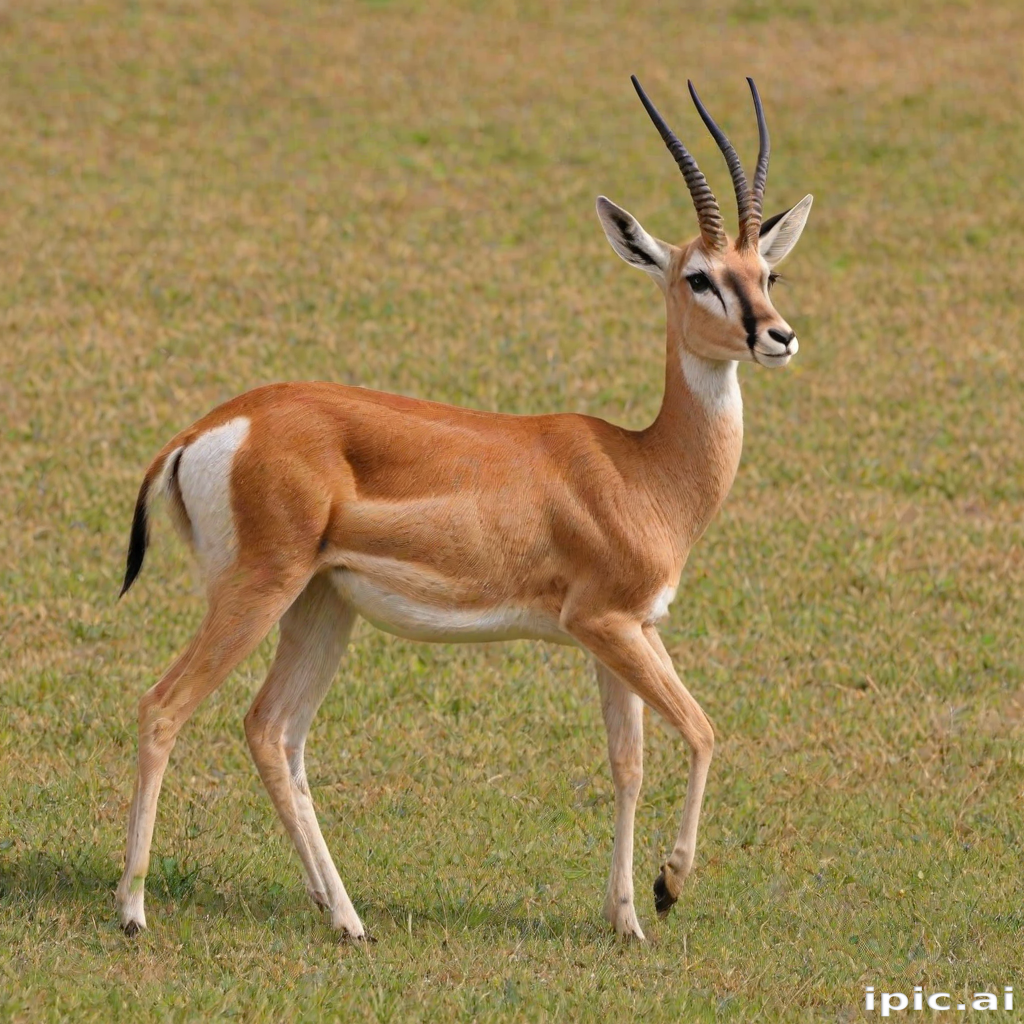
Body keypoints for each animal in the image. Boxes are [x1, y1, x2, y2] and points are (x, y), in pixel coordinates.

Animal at [115, 75, 812, 942]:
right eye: (699, 277)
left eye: (766, 274)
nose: (778, 337)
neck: (642, 470)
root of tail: (207, 429)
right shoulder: (608, 625)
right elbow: (703, 730)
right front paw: (667, 886)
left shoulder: (626, 632)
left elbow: (628, 763)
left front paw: (626, 919)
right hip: (256, 592)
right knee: (163, 707)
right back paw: (135, 910)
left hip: (319, 606)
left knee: (271, 731)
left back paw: (345, 916)